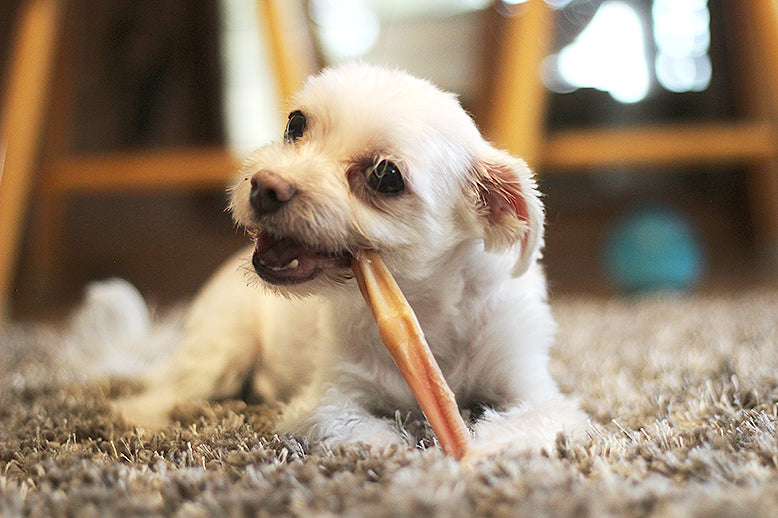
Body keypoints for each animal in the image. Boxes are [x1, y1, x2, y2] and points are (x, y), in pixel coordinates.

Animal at [116, 63, 584, 458]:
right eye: (295, 124)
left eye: (385, 175)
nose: (265, 186)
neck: (425, 311)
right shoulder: (325, 397)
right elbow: (360, 428)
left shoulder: (537, 391)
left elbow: (531, 422)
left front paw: (479, 452)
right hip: (222, 350)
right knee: (162, 392)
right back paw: (144, 421)